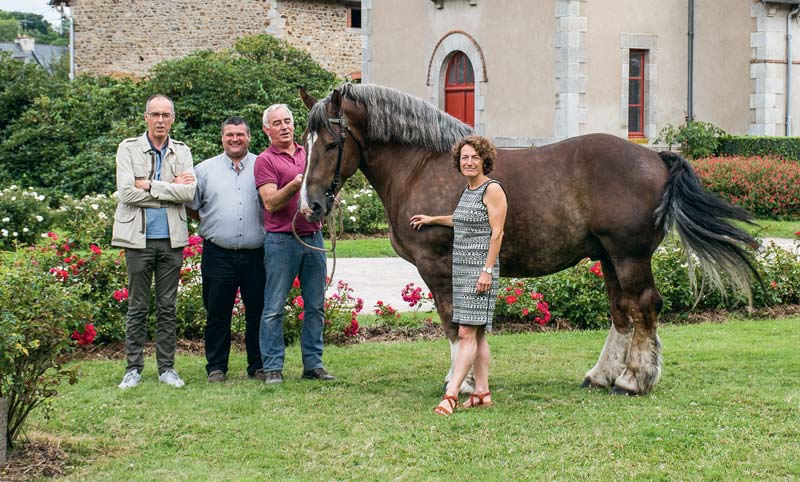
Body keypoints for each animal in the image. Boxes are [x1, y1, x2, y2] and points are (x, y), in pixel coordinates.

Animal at [296, 84, 760, 396]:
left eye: (332, 143)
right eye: (303, 142)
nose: (311, 205)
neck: (423, 165)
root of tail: (655, 157)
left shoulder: (438, 266)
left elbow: (452, 323)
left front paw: (462, 383)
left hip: (629, 255)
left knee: (643, 306)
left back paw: (632, 380)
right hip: (608, 257)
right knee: (621, 311)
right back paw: (601, 375)